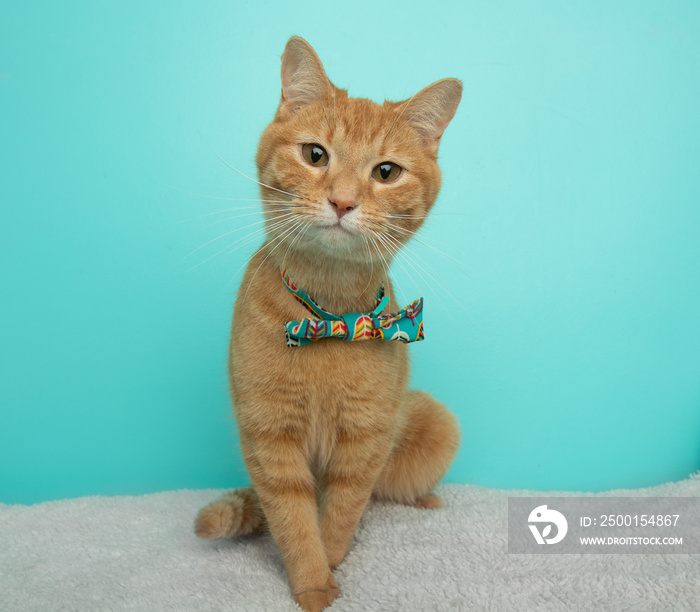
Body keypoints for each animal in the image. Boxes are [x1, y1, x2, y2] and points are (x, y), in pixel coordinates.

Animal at [194, 35, 462, 608]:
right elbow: (295, 522)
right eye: (315, 155)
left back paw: (425, 502)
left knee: (388, 491)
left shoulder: (365, 439)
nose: (342, 201)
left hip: (433, 422)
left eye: (386, 172)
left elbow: (340, 511)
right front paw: (315, 586)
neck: (331, 318)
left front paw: (335, 564)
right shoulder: (270, 438)